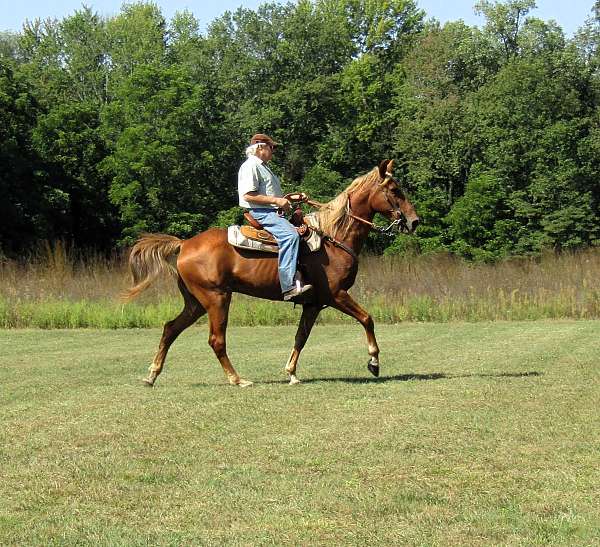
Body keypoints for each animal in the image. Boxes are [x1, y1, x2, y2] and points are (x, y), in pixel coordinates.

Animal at [124, 161, 420, 388]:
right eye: (395, 190)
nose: (414, 221)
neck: (333, 237)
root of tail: (184, 244)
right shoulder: (336, 295)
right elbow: (367, 319)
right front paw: (374, 362)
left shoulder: (314, 304)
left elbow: (301, 337)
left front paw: (291, 373)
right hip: (217, 298)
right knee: (216, 340)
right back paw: (237, 379)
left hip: (196, 302)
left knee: (170, 329)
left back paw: (151, 376)